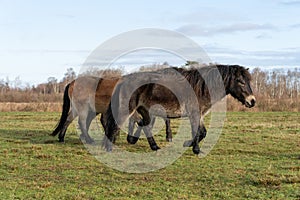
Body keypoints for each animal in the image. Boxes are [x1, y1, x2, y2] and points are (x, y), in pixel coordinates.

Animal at [103, 65, 255, 154]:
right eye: (241, 81)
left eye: (249, 81)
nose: (252, 101)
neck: (201, 88)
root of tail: (123, 80)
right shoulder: (195, 114)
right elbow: (197, 131)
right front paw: (196, 149)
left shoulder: (199, 115)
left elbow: (202, 132)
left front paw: (188, 144)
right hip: (127, 109)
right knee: (116, 125)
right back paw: (109, 148)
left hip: (145, 111)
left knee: (145, 127)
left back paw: (154, 147)